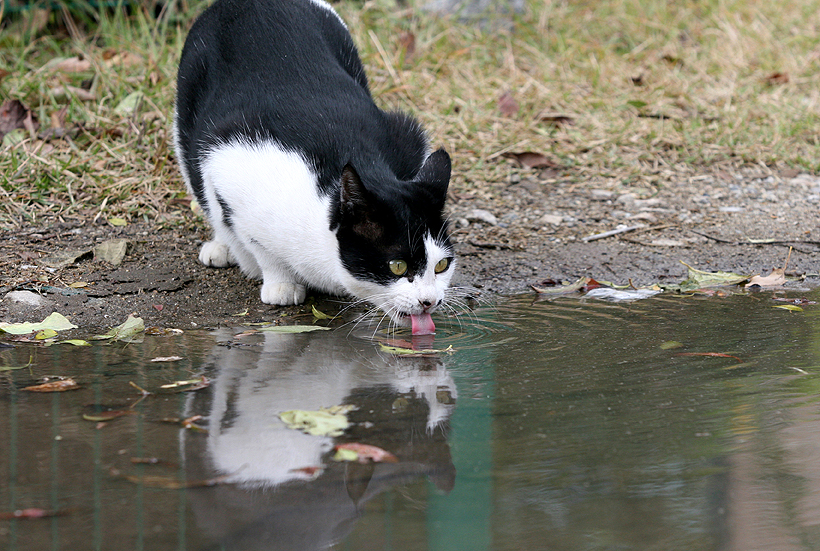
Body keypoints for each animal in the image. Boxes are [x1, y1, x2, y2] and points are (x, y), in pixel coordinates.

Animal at [173, 0, 454, 334]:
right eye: (397, 266)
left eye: (441, 265)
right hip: (187, 120)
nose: (429, 301)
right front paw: (280, 284)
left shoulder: (406, 136)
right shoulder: (230, 158)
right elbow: (258, 243)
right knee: (201, 184)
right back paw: (222, 247)